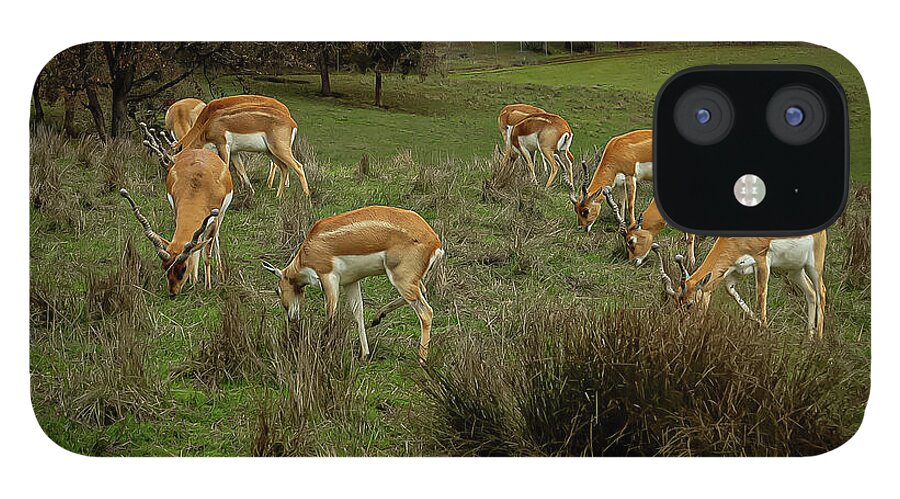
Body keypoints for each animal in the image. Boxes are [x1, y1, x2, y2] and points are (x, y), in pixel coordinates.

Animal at [120, 133, 233, 296]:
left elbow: (206, 253)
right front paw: (193, 281)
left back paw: (220, 274)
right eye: (165, 267)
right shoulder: (177, 211)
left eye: (183, 268)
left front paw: (207, 287)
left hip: (221, 215)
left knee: (214, 240)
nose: (173, 293)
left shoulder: (213, 219)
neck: (198, 187)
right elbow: (194, 249)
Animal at [167, 94, 308, 198]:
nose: (170, 184)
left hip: (278, 149)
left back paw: (306, 197)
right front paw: (250, 191)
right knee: (284, 167)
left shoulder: (223, 145)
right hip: (270, 151)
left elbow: (226, 168)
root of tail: (292, 122)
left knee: (298, 166)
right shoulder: (234, 152)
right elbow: (241, 169)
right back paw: (278, 195)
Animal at [261, 206, 444, 364]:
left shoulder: (328, 278)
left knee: (426, 312)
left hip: (401, 279)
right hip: (409, 280)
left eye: (277, 290)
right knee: (421, 292)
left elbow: (331, 314)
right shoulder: (351, 282)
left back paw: (421, 360)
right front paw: (364, 354)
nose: (291, 317)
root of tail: (435, 241)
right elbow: (358, 313)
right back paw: (377, 317)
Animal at [652, 231, 827, 338]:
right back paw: (809, 337)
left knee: (822, 292)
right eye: (676, 304)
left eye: (689, 304)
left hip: (814, 266)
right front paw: (760, 325)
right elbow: (732, 293)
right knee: (811, 293)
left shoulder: (762, 262)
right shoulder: (733, 271)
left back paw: (818, 339)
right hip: (794, 270)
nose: (684, 329)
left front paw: (763, 331)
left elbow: (761, 297)